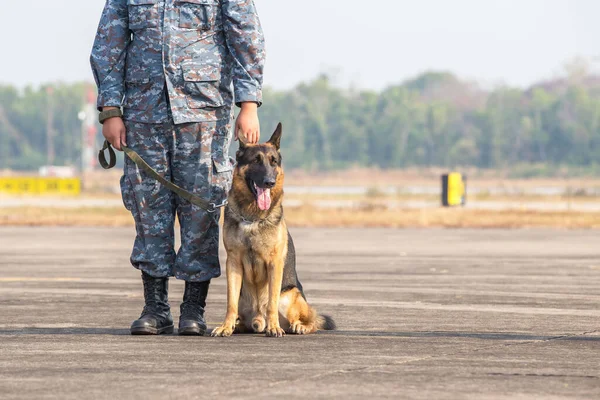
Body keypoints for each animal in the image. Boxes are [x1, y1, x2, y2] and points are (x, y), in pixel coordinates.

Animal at [211, 123, 336, 336]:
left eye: (273, 162)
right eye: (255, 161)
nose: (269, 182)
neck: (252, 217)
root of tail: (257, 319)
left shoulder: (274, 263)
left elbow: (271, 302)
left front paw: (274, 327)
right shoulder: (233, 262)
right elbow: (230, 303)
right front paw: (226, 326)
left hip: (290, 295)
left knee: (311, 320)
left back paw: (297, 326)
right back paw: (238, 325)